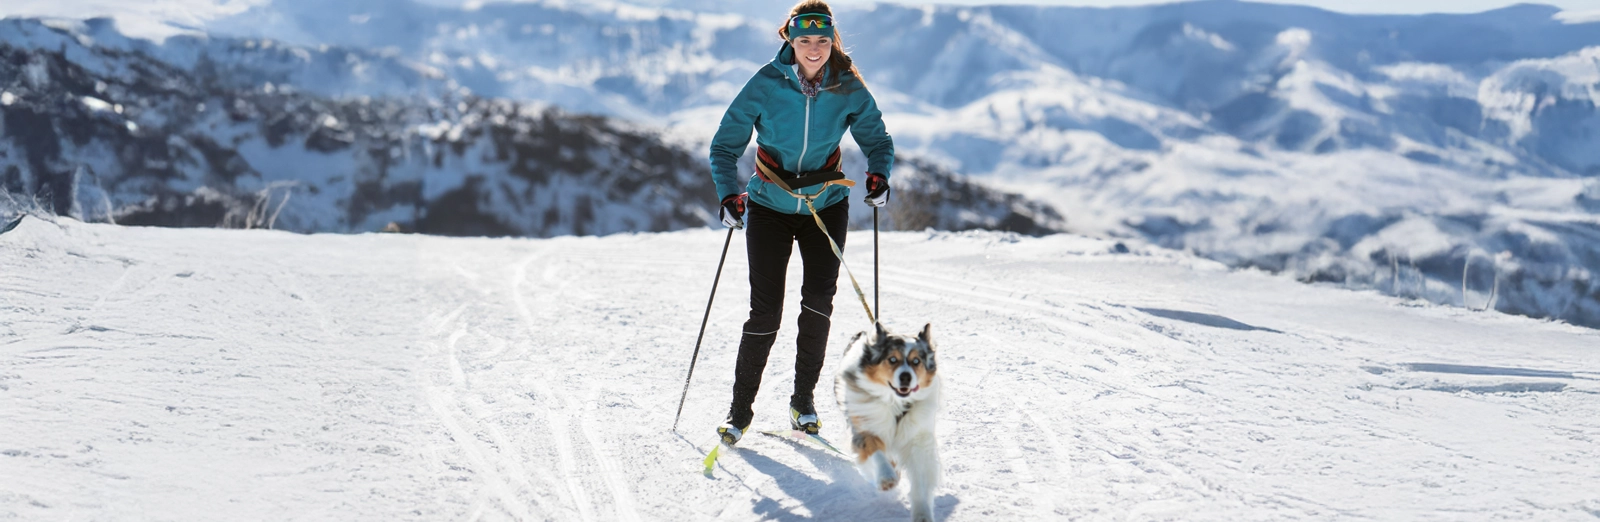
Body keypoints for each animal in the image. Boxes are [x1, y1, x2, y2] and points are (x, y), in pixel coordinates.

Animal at [832, 321, 940, 522]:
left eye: (916, 361)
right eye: (892, 359)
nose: (906, 377)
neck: (895, 402)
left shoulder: (918, 439)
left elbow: (921, 480)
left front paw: (922, 514)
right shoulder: (864, 427)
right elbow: (876, 452)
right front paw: (886, 478)